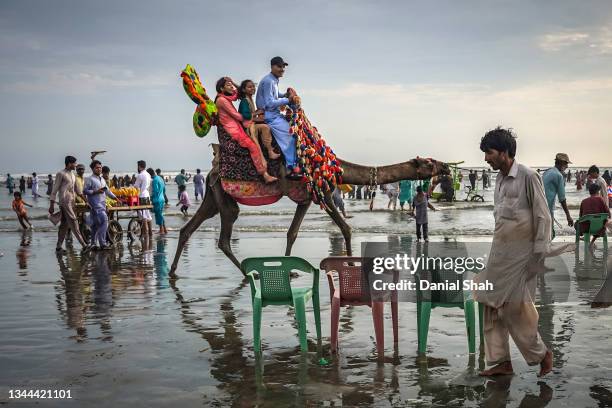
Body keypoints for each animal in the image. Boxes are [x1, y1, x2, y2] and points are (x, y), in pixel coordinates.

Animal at [170, 143, 448, 278]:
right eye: (429, 162)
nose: (446, 166)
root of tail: (213, 171)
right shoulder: (323, 192)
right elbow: (346, 228)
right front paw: (350, 264)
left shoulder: (305, 200)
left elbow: (292, 233)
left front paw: (289, 269)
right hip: (225, 197)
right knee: (224, 237)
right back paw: (248, 275)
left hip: (213, 196)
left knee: (189, 227)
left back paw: (172, 272)